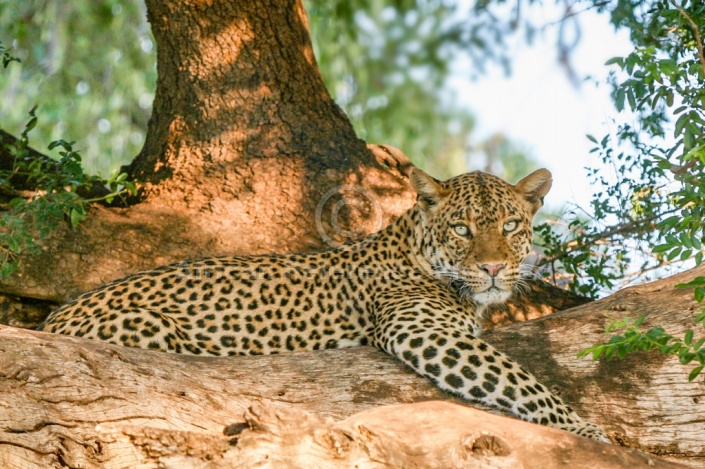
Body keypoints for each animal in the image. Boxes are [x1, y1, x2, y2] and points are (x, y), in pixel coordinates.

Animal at [38, 167, 608, 442]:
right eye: (462, 229)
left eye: (510, 226)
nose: (491, 268)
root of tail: (51, 317)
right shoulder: (422, 330)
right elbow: (521, 381)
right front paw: (585, 430)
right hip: (150, 327)